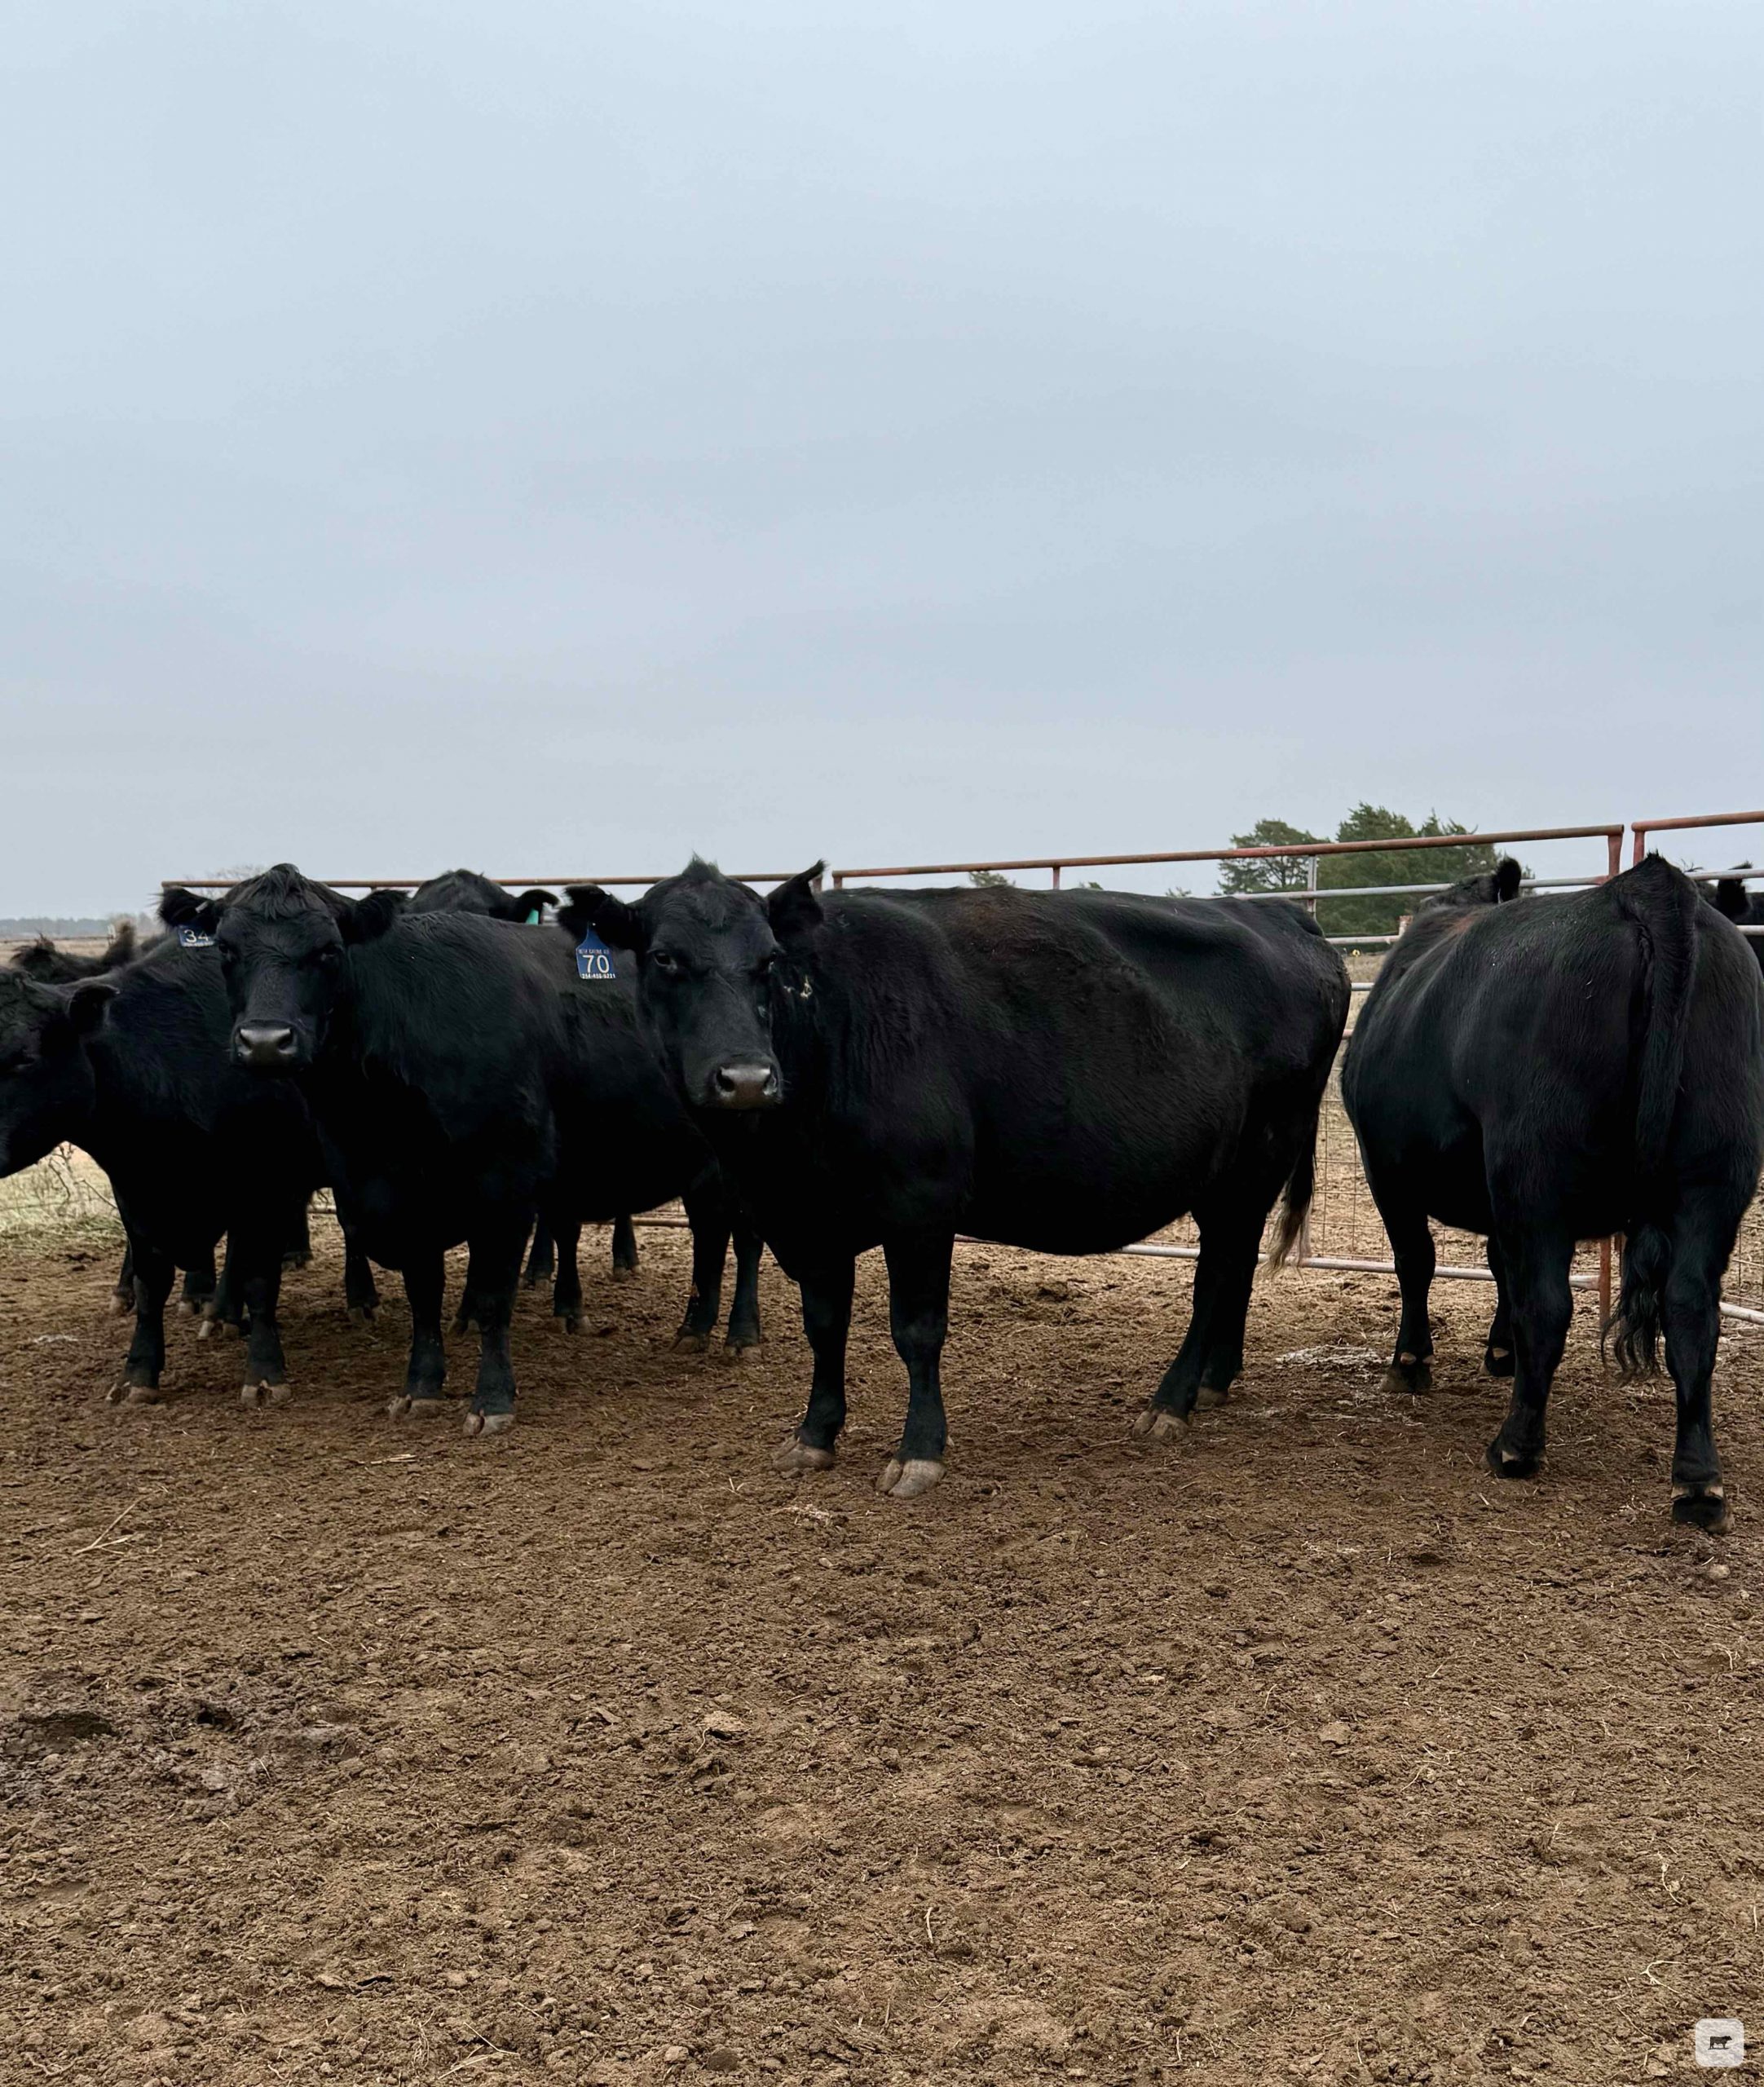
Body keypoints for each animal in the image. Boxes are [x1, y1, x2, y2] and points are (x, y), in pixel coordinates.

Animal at [0, 939, 340, 1406]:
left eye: (25, 1059)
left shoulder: (270, 1189)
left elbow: (259, 1279)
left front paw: (265, 1374)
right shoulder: (136, 1195)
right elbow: (152, 1284)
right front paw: (138, 1374)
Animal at [160, 865, 765, 1433]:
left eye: (328, 950)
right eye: (227, 949)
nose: (265, 1042)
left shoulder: (507, 1183)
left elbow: (494, 1294)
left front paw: (491, 1401)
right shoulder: (396, 1192)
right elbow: (425, 1291)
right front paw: (421, 1387)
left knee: (745, 1239)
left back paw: (741, 1333)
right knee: (710, 1235)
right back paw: (693, 1329)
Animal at [559, 860, 1350, 1497]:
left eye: (770, 961)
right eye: (664, 958)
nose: (748, 1078)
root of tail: (1286, 916)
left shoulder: (921, 1204)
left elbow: (916, 1331)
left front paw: (919, 1453)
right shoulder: (807, 1220)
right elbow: (825, 1326)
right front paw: (814, 1435)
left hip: (1257, 1158)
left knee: (1217, 1273)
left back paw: (1172, 1401)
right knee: (1236, 1266)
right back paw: (1215, 1382)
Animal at [1342, 854, 1764, 1529]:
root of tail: (1646, 889)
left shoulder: (1388, 1168)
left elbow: (1418, 1262)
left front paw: (1412, 1362)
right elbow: (1498, 1264)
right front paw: (1499, 1351)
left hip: (1537, 1162)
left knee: (1548, 1303)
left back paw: (1515, 1445)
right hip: (1717, 1170)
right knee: (1692, 1310)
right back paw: (1698, 1483)